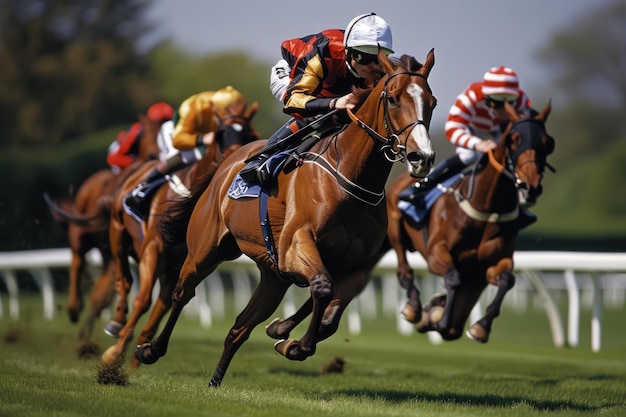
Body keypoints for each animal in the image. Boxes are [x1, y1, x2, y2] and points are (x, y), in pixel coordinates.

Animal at [44, 113, 161, 338]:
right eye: (148, 132)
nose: (154, 155)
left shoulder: (117, 251)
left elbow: (102, 295)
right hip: (80, 234)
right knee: (77, 261)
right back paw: (74, 307)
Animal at [101, 99, 258, 368]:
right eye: (221, 133)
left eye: (248, 133)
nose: (237, 156)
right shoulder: (154, 249)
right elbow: (143, 299)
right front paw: (115, 353)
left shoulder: (179, 266)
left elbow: (159, 312)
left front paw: (135, 360)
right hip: (118, 232)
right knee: (124, 279)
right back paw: (116, 321)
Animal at [133, 49, 434, 386]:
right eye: (393, 99)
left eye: (432, 102)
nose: (422, 158)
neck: (350, 174)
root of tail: (228, 161)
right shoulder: (295, 246)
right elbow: (322, 287)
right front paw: (294, 343)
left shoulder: (356, 268)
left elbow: (330, 315)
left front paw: (288, 339)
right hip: (205, 250)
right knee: (182, 293)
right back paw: (150, 349)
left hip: (272, 277)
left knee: (239, 328)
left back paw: (215, 380)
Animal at [388, 101, 552, 342]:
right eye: (514, 139)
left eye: (547, 143)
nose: (530, 187)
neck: (486, 209)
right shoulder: (436, 252)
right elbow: (452, 278)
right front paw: (440, 319)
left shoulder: (491, 264)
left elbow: (507, 279)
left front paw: (480, 327)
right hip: (395, 226)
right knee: (404, 269)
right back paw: (415, 307)